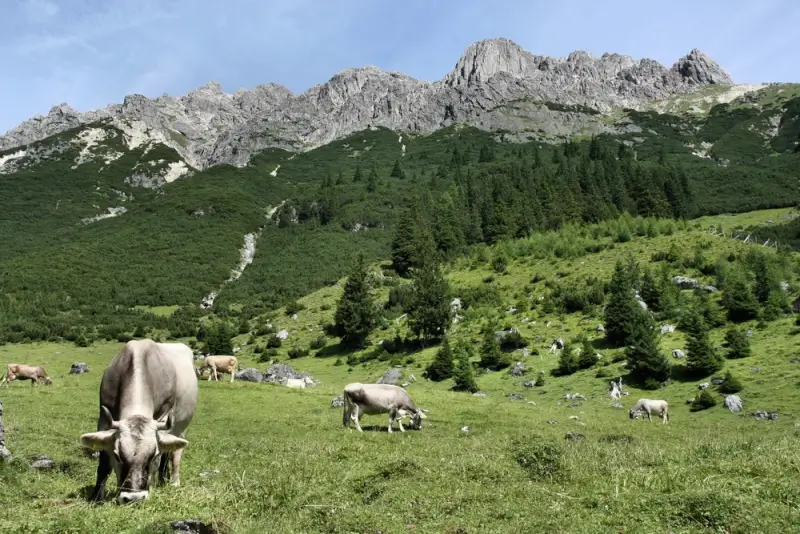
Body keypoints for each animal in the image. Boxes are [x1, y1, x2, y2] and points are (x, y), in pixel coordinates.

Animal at [79, 339, 198, 504]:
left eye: (153, 455)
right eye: (117, 455)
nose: (134, 498)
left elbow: (160, 459)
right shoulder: (103, 418)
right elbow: (104, 465)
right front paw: (96, 497)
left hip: (181, 428)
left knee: (175, 454)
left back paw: (174, 482)